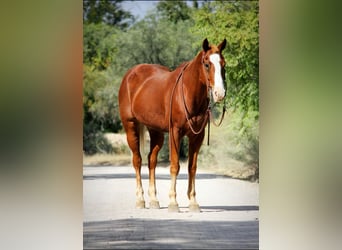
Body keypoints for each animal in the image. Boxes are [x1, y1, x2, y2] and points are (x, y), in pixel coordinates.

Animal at [119, 38, 226, 212]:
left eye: (224, 64)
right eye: (207, 64)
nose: (220, 93)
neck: (188, 94)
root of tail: (130, 74)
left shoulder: (197, 136)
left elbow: (192, 167)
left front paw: (193, 202)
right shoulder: (175, 133)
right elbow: (175, 165)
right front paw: (173, 202)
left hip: (156, 132)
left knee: (151, 160)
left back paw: (154, 200)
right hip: (130, 127)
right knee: (137, 160)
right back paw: (140, 200)